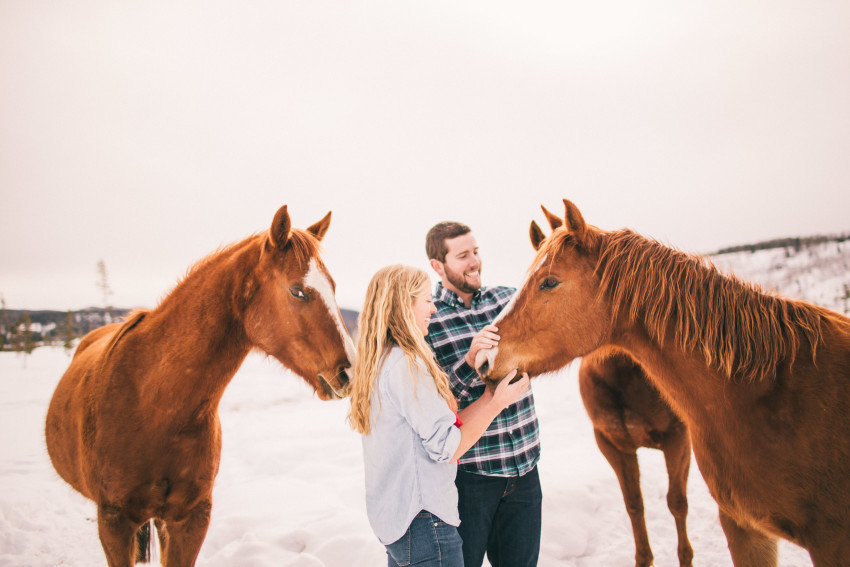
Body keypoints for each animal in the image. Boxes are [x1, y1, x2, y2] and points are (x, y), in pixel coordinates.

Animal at [44, 205, 354, 567]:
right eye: (297, 290)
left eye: (333, 287)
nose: (350, 371)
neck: (151, 405)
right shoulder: (113, 521)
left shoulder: (191, 519)